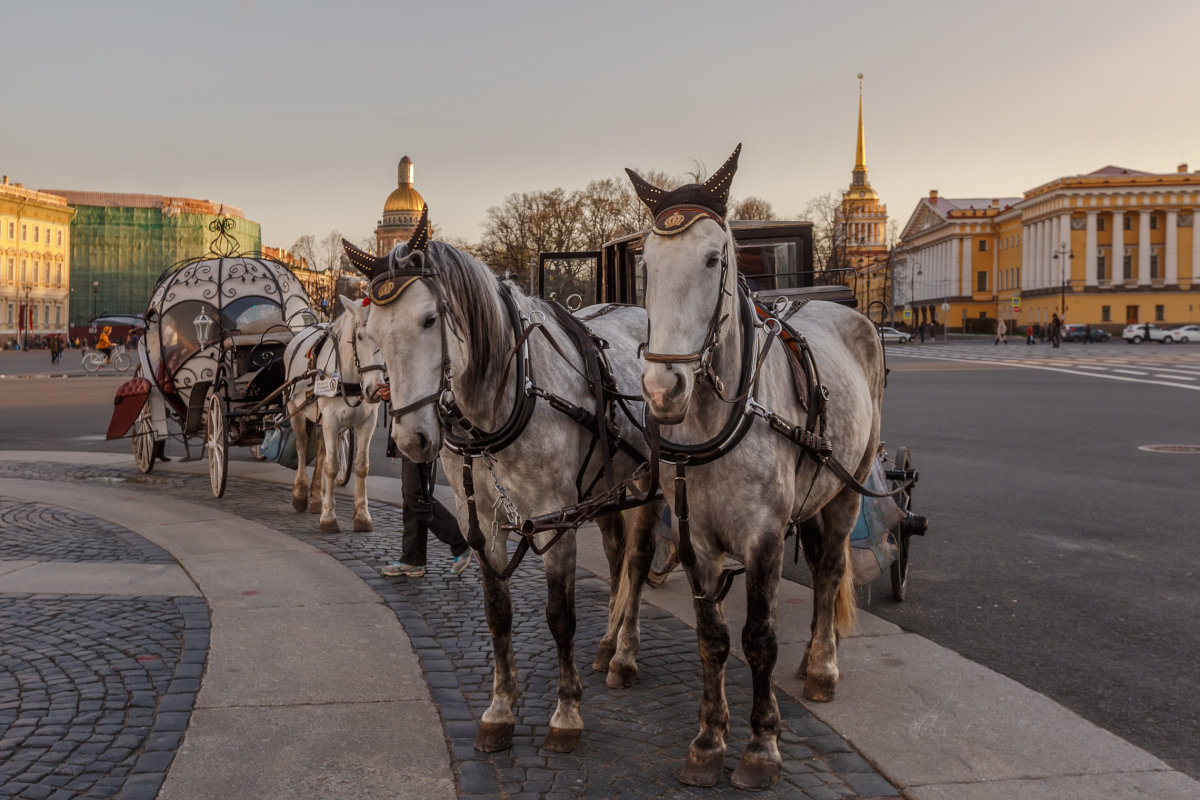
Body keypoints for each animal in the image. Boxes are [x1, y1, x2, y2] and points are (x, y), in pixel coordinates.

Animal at [283, 293, 376, 532]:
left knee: (321, 450)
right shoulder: (332, 421)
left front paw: (362, 515)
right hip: (296, 411)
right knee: (302, 446)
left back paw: (316, 497)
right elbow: (332, 467)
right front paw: (329, 517)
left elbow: (362, 466)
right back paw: (300, 494)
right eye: (359, 337)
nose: (376, 389)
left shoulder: (367, 422)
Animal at [343, 215, 662, 762]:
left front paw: (566, 712)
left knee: (638, 563)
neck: (511, 396)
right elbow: (497, 615)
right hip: (607, 487)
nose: (411, 440)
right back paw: (607, 644)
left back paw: (624, 655)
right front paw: (500, 708)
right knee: (618, 557)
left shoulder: (556, 521)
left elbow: (560, 616)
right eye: (374, 334)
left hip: (646, 481)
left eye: (430, 319)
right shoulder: (483, 525)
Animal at [628, 146, 883, 791]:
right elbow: (713, 638)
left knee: (829, 569)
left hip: (847, 490)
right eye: (646, 264)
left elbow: (759, 639)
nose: (663, 389)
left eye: (715, 257)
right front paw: (708, 740)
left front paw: (762, 745)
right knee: (818, 564)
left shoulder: (764, 537)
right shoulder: (695, 540)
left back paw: (822, 668)